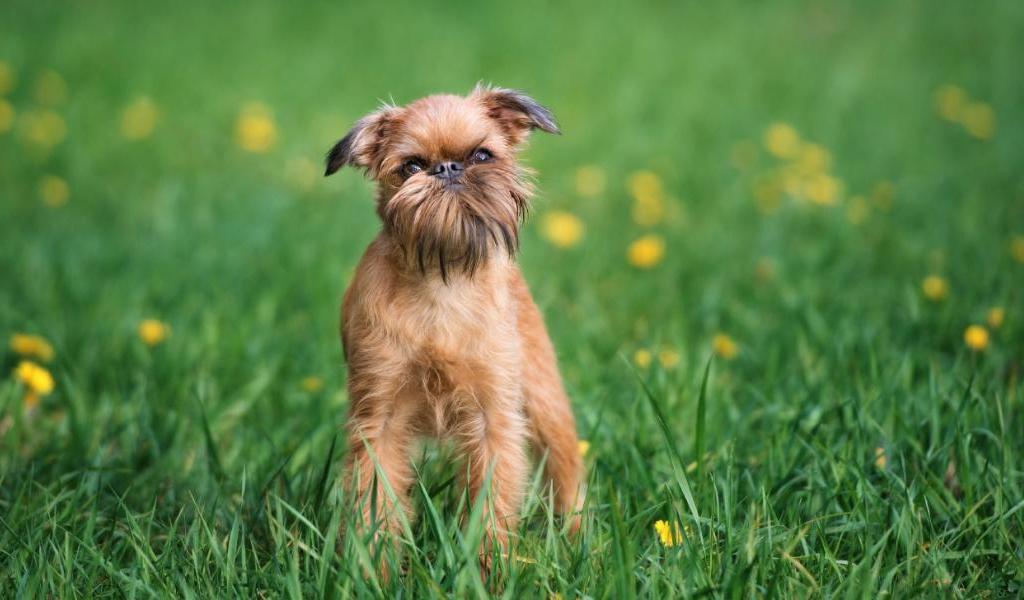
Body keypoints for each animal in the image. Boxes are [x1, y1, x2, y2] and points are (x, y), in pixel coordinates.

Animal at [323, 83, 589, 561]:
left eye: (482, 155)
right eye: (411, 166)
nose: (447, 167)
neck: (441, 281)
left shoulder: (493, 418)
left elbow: (492, 499)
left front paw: (488, 565)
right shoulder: (380, 421)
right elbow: (376, 502)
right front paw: (372, 567)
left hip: (543, 399)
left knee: (566, 472)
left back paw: (579, 542)